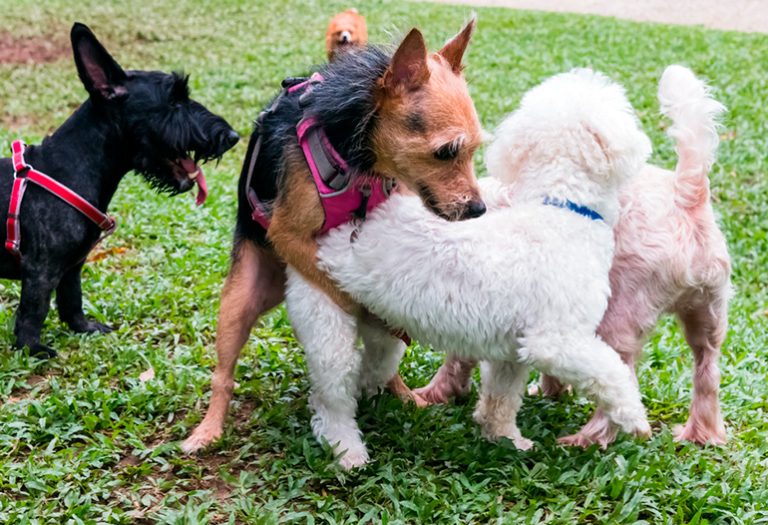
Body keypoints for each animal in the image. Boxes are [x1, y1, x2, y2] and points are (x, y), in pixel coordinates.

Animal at [0, 21, 238, 356]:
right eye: (174, 101)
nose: (232, 136)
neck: (71, 165)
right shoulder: (41, 270)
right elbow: (34, 310)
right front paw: (31, 349)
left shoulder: (72, 267)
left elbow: (72, 300)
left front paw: (83, 328)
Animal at [183, 20, 486, 452]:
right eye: (446, 152)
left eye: (474, 150)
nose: (479, 209)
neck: (360, 159)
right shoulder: (288, 236)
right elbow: (341, 289)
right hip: (241, 299)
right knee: (223, 374)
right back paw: (208, 429)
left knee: (386, 367)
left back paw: (402, 394)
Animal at [284, 68, 652, 466]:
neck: (560, 208)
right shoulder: (555, 342)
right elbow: (611, 372)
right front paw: (634, 416)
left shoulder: (512, 351)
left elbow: (502, 397)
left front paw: (504, 436)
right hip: (325, 313)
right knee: (331, 399)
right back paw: (346, 447)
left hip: (383, 330)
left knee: (373, 367)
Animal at [414, 64, 732, 446]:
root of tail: (687, 196)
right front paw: (550, 390)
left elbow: (458, 358)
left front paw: (432, 395)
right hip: (708, 315)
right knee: (707, 372)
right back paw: (701, 432)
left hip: (620, 314)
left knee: (622, 373)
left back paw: (589, 438)